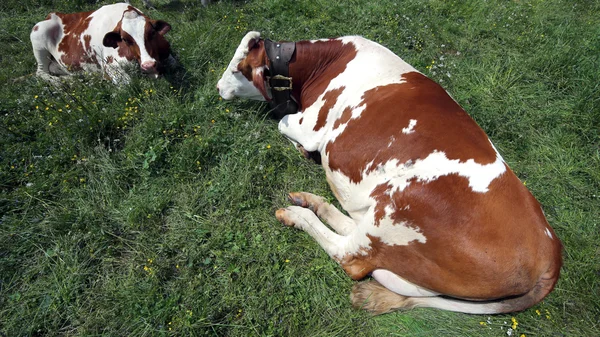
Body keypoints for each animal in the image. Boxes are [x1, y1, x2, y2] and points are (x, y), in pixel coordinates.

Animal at [30, 2, 172, 84]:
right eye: (125, 39)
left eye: (152, 33)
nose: (148, 65)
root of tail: (53, 14)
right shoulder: (110, 67)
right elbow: (128, 83)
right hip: (38, 34)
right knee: (41, 73)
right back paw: (61, 83)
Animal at [217, 30, 564, 314]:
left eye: (237, 68)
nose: (218, 87)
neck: (324, 64)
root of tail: (551, 254)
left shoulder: (310, 126)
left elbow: (281, 122)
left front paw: (302, 150)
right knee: (351, 228)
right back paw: (311, 201)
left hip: (397, 209)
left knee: (350, 257)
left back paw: (296, 214)